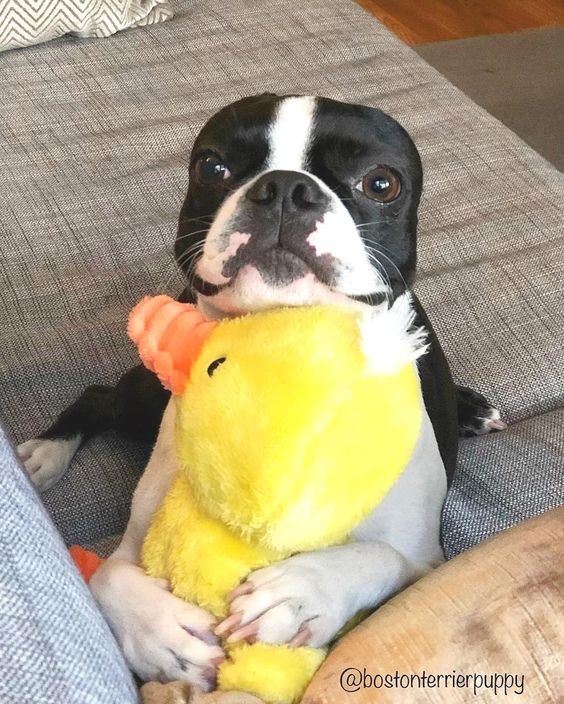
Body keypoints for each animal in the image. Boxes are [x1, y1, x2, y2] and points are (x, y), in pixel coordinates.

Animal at [17, 93, 504, 688]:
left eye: (381, 183)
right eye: (212, 167)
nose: (286, 188)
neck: (288, 341)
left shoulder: (426, 562)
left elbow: (381, 557)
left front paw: (305, 592)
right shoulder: (130, 545)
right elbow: (106, 580)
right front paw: (162, 634)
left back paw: (471, 408)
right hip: (144, 399)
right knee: (96, 397)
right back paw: (45, 454)